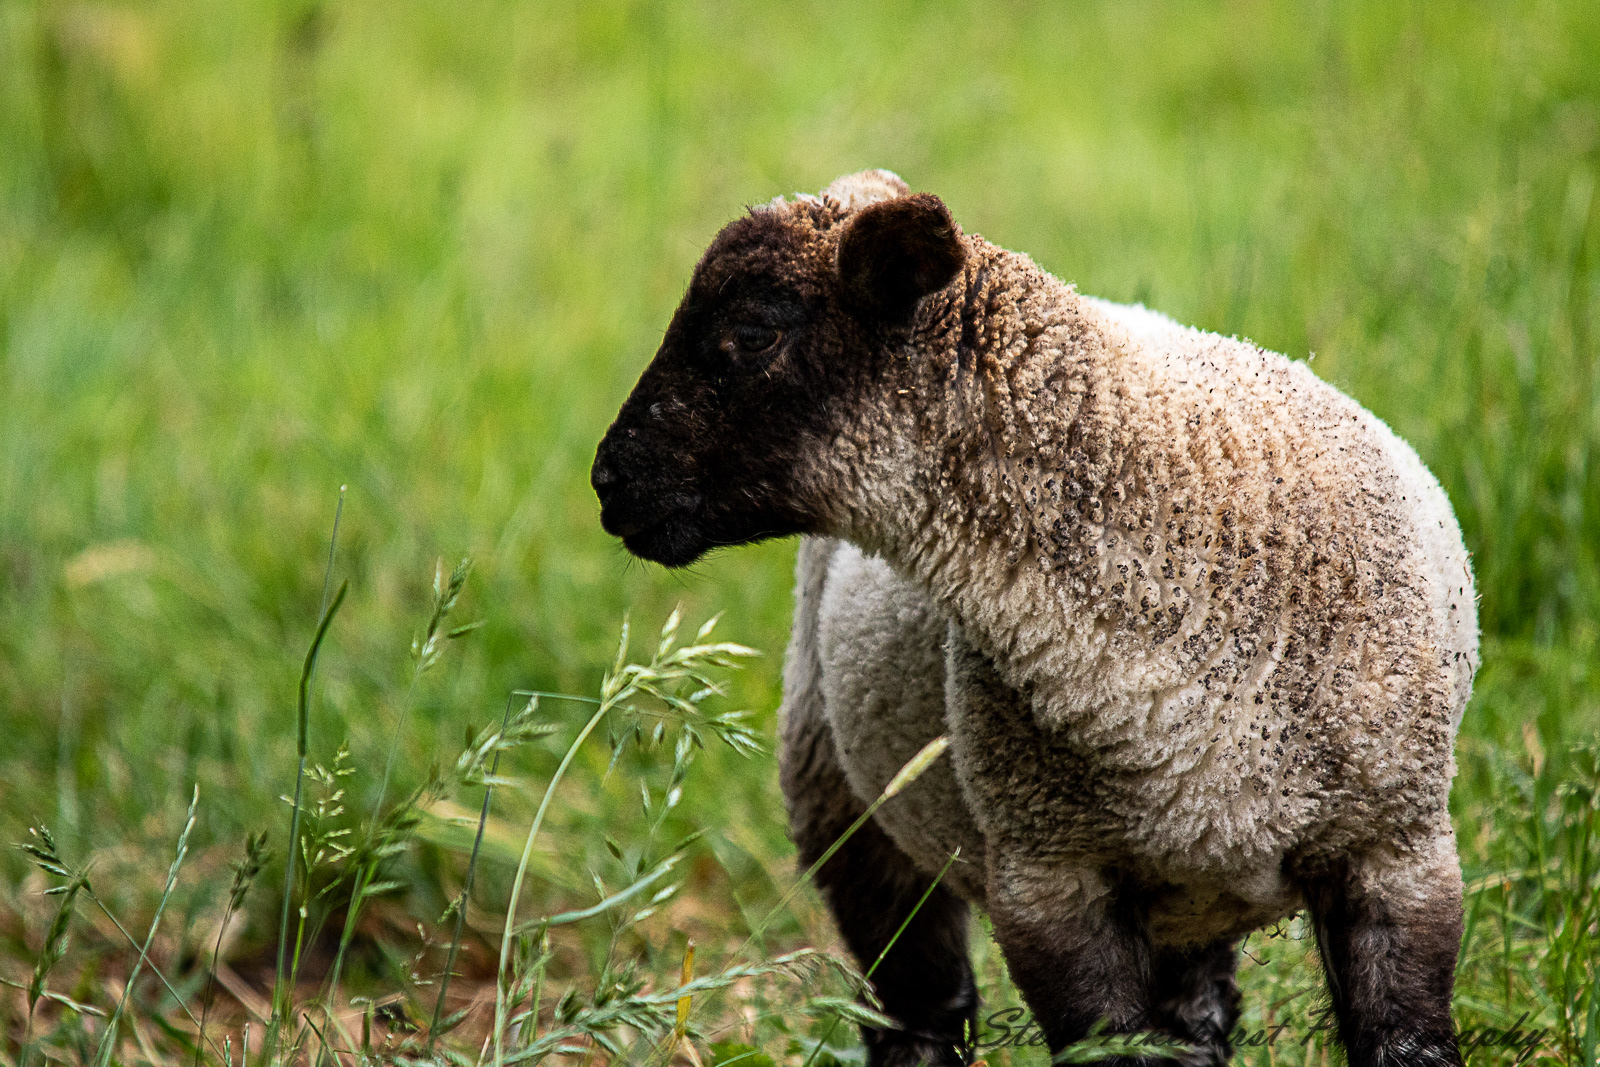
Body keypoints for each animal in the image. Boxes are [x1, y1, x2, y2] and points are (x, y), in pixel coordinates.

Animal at [591, 169, 1479, 1067]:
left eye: (753, 332)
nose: (608, 480)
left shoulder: (1398, 853)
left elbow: (1406, 1041)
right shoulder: (1050, 885)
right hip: (845, 797)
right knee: (922, 1007)